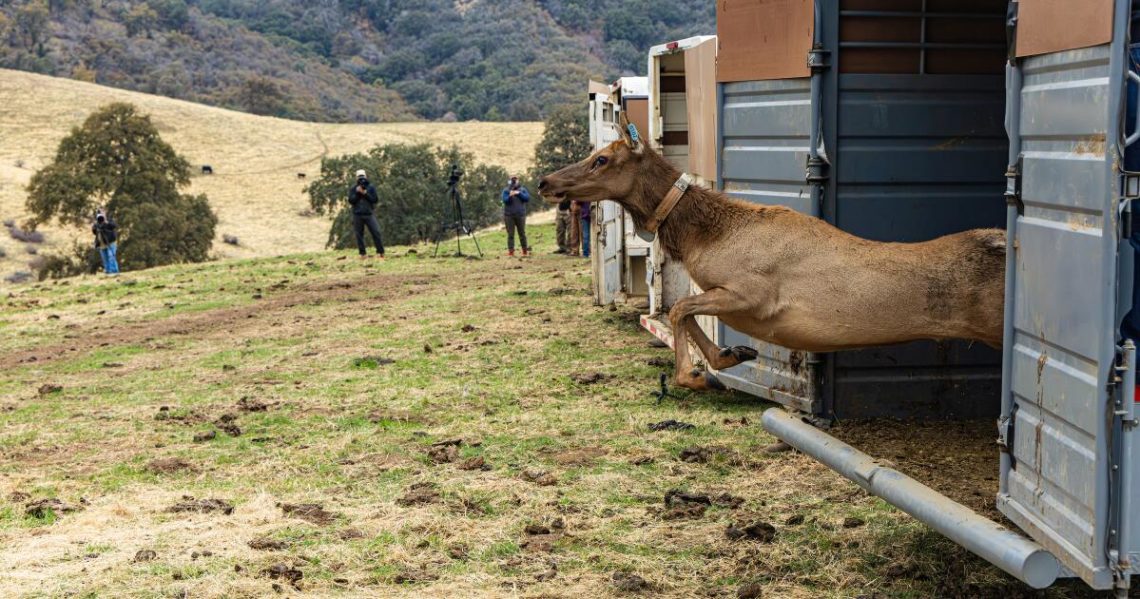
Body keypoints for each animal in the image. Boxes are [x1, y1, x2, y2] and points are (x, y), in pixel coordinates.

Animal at [538, 121, 1006, 392]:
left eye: (601, 159)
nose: (545, 182)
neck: (701, 238)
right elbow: (686, 311)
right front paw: (729, 356)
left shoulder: (752, 294)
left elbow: (680, 309)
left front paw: (692, 374)